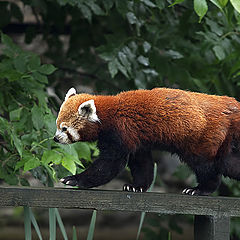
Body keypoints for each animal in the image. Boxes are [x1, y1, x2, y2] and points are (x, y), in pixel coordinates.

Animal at [54, 87, 240, 195]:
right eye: (57, 126)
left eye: (65, 129)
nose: (56, 138)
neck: (107, 114)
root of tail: (230, 105)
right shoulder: (136, 139)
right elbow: (142, 164)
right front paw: (136, 186)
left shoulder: (120, 132)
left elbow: (109, 165)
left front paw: (74, 179)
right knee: (228, 163)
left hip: (202, 138)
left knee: (206, 165)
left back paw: (201, 189)